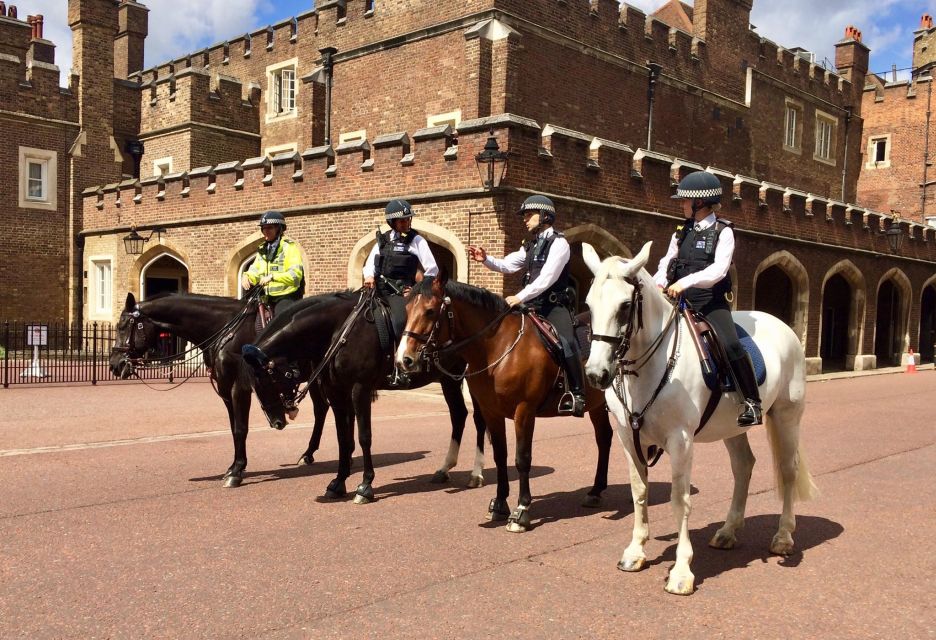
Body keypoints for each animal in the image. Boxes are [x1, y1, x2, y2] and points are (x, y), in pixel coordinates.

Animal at [108, 292, 330, 488]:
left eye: (123, 327)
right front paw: (233, 467)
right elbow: (233, 428)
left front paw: (236, 472)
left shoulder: (239, 387)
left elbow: (241, 428)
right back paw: (308, 453)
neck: (226, 330)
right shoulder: (225, 390)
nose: (114, 365)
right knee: (321, 410)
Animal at [241, 290, 490, 504]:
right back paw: (444, 469)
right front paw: (338, 482)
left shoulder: (359, 388)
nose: (277, 422)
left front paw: (365, 486)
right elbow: (343, 438)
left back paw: (476, 474)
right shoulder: (336, 391)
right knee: (458, 414)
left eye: (263, 380)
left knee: (478, 419)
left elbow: (364, 436)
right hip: (449, 378)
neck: (339, 331)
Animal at [394, 276, 616, 536]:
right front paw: (499, 504)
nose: (404, 359)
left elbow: (522, 459)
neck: (499, 348)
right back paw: (595, 491)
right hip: (597, 405)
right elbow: (500, 456)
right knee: (604, 438)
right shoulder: (492, 412)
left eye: (430, 311)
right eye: (407, 309)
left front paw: (521, 511)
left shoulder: (524, 411)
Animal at [580, 241, 816, 596]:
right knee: (744, 466)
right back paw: (729, 531)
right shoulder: (628, 438)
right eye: (589, 305)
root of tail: (782, 326)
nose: (597, 374)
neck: (653, 366)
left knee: (788, 470)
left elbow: (680, 501)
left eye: (625, 306)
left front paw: (681, 571)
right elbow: (639, 492)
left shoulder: (680, 441)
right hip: (733, 427)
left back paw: (784, 537)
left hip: (787, 416)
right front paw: (635, 552)